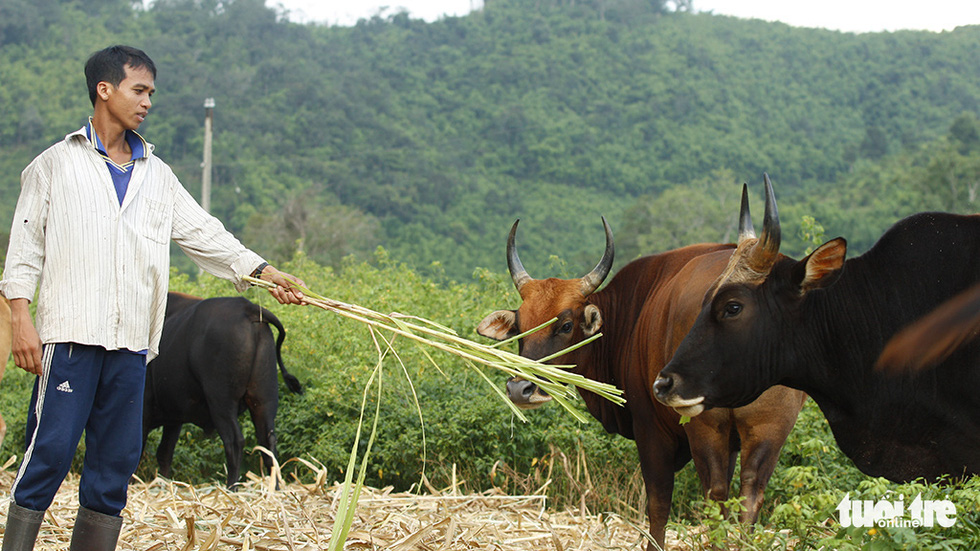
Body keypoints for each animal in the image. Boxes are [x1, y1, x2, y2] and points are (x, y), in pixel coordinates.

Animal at [143, 294, 302, 488]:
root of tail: (246, 307)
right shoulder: (173, 419)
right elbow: (164, 453)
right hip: (263, 400)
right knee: (267, 443)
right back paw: (275, 489)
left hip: (221, 402)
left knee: (234, 442)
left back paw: (231, 487)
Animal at [474, 206, 804, 548]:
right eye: (520, 327)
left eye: (565, 325)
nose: (520, 389)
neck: (630, 314)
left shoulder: (650, 429)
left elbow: (658, 504)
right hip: (770, 427)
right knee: (749, 495)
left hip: (704, 425)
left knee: (714, 495)